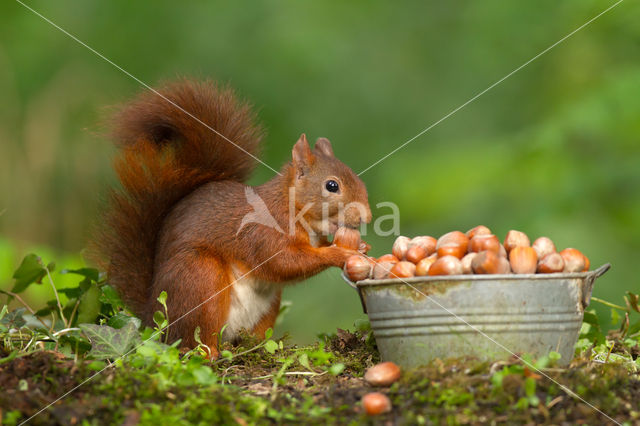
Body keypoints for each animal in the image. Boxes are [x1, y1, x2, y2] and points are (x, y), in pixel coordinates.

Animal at [90, 80, 370, 356]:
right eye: (332, 186)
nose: (366, 217)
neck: (293, 209)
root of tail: (153, 318)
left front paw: (360, 247)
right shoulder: (263, 233)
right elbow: (285, 262)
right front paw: (339, 253)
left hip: (266, 307)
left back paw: (257, 347)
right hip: (200, 279)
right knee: (194, 339)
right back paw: (209, 352)